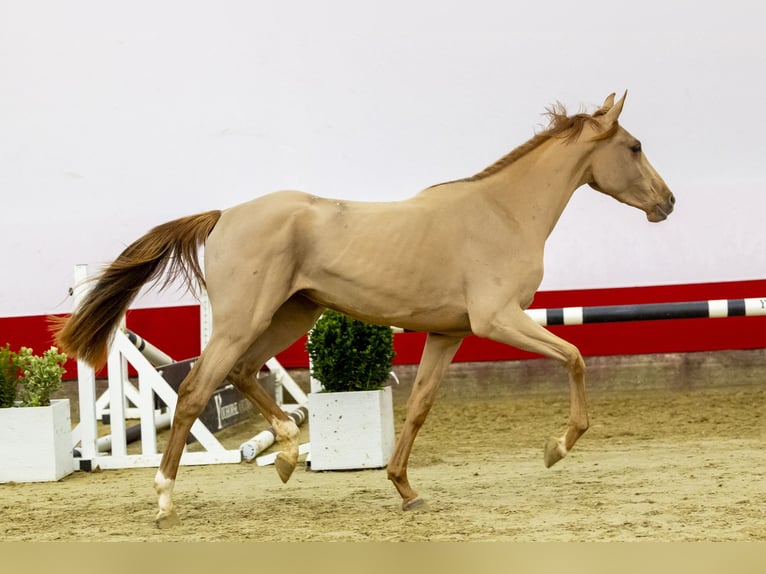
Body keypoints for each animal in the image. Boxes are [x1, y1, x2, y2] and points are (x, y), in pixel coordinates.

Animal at [55, 92, 680, 528]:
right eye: (634, 147)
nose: (668, 202)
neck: (503, 212)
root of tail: (224, 215)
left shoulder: (449, 334)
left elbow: (420, 407)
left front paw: (406, 490)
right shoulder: (498, 319)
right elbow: (574, 356)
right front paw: (556, 448)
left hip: (290, 316)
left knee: (243, 373)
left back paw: (286, 452)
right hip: (243, 320)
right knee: (193, 392)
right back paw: (164, 501)